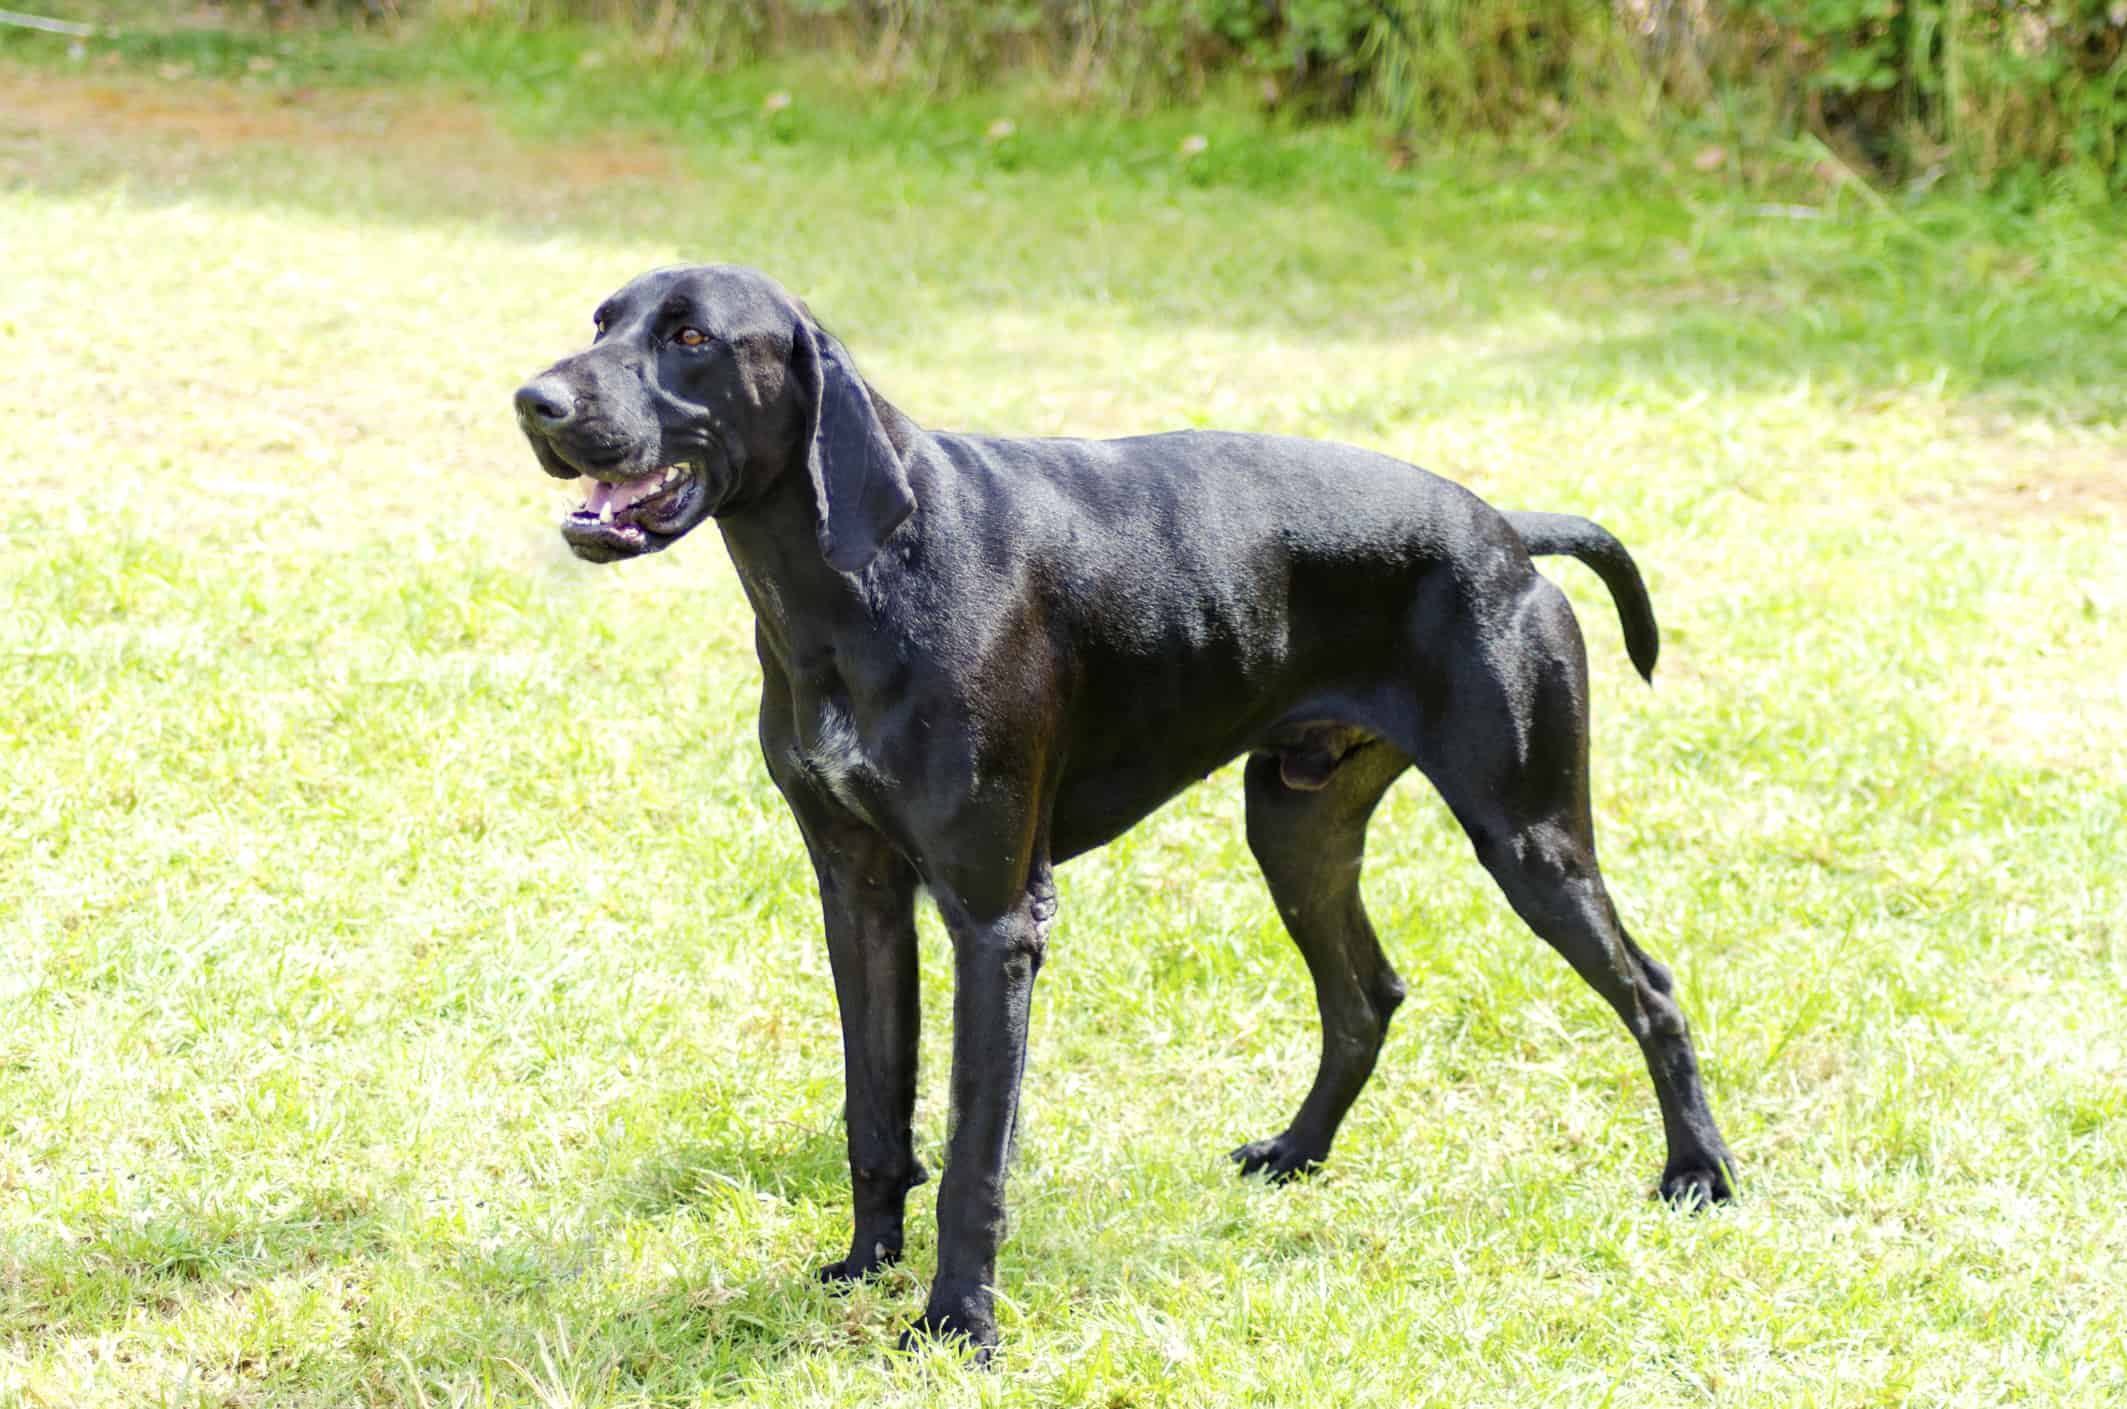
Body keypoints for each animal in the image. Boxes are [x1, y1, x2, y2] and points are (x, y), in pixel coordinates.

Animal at [510, 261, 1727, 1362]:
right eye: (602, 321)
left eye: (692, 337)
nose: (535, 402)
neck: (856, 577)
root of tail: (1506, 532)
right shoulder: (858, 895)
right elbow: (875, 1110)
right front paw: (864, 1266)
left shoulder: (996, 920)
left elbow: (973, 1154)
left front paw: (956, 1324)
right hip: (1296, 828)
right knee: (1364, 995)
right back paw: (1297, 1153)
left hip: (1529, 841)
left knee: (1652, 989)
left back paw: (1699, 1174)